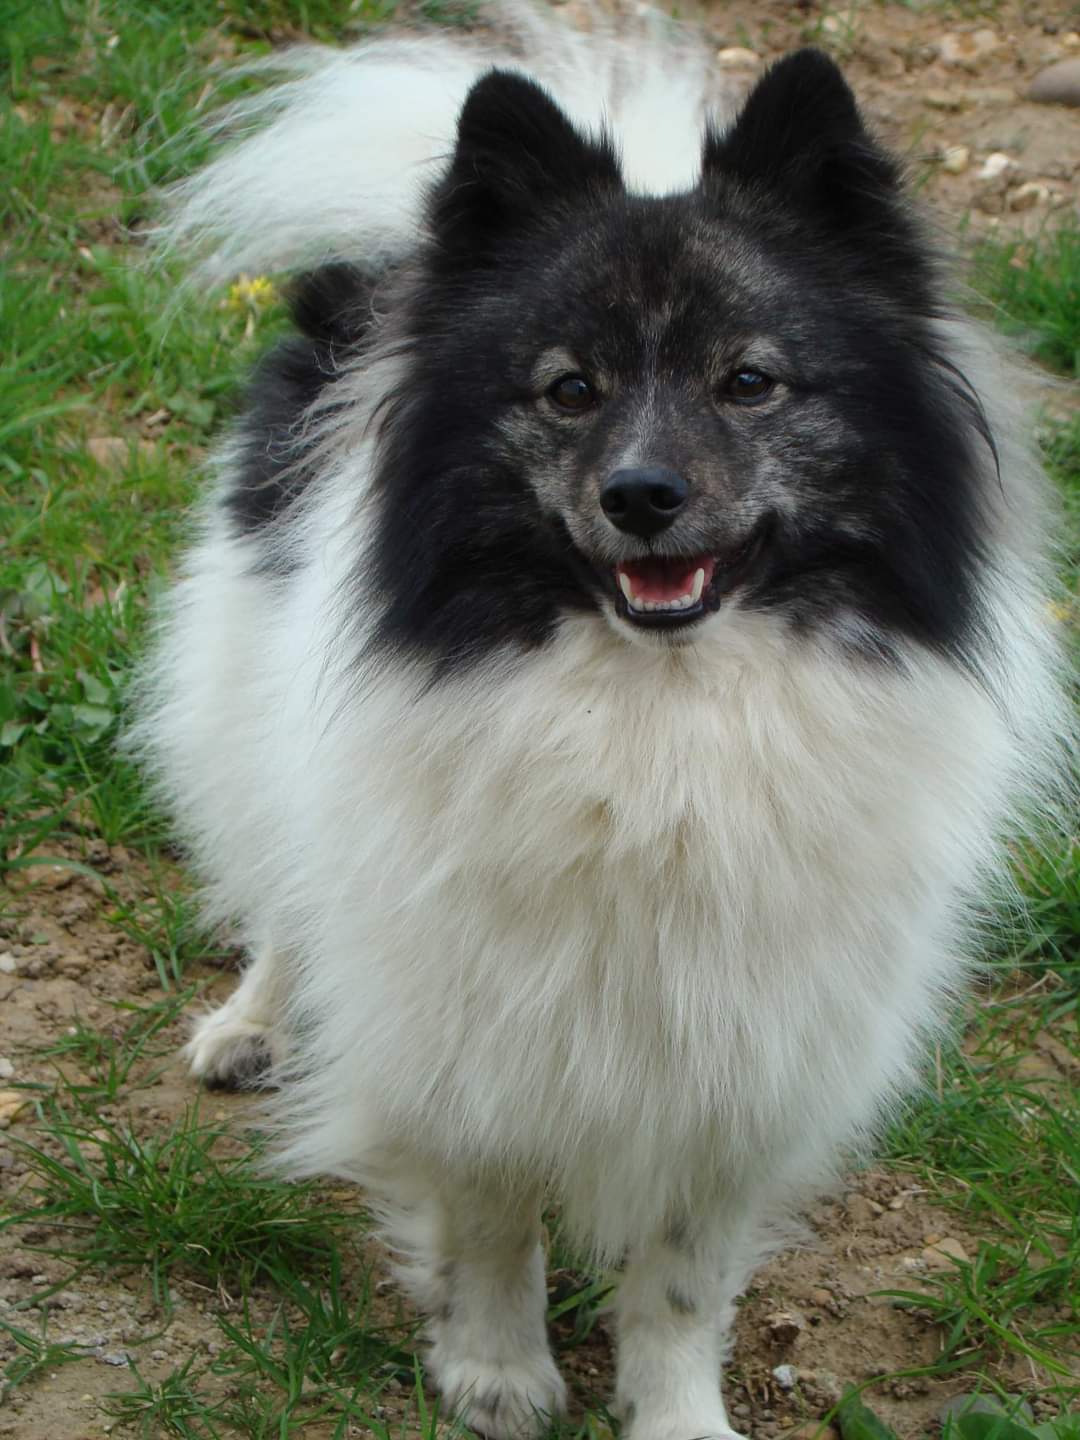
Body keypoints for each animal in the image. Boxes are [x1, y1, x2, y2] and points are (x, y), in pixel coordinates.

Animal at [131, 11, 1071, 1440]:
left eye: (751, 382)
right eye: (568, 390)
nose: (642, 495)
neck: (655, 714)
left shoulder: (741, 1056)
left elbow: (681, 1282)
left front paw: (677, 1414)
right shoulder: (467, 1023)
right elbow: (491, 1213)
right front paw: (497, 1371)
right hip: (255, 702)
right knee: (286, 892)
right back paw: (255, 1023)